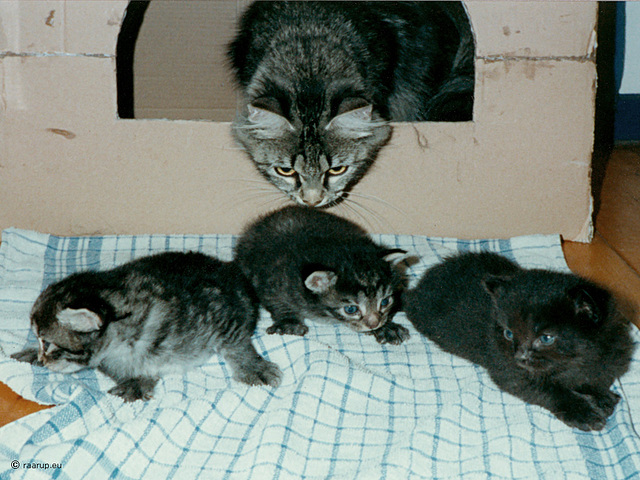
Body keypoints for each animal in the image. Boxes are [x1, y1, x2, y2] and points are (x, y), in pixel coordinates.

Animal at [11, 251, 282, 402]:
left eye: (48, 343)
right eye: (39, 342)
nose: (42, 359)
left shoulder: (222, 311)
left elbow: (235, 344)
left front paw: (252, 367)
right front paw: (137, 382)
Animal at [235, 204, 410, 344]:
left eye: (385, 301)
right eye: (351, 309)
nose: (374, 324)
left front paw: (386, 327)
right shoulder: (273, 279)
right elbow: (276, 300)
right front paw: (288, 322)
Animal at [402, 251, 632, 432]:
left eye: (546, 338)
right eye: (509, 334)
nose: (520, 356)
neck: (576, 360)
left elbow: (596, 377)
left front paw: (601, 395)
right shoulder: (507, 369)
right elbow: (550, 391)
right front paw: (582, 412)